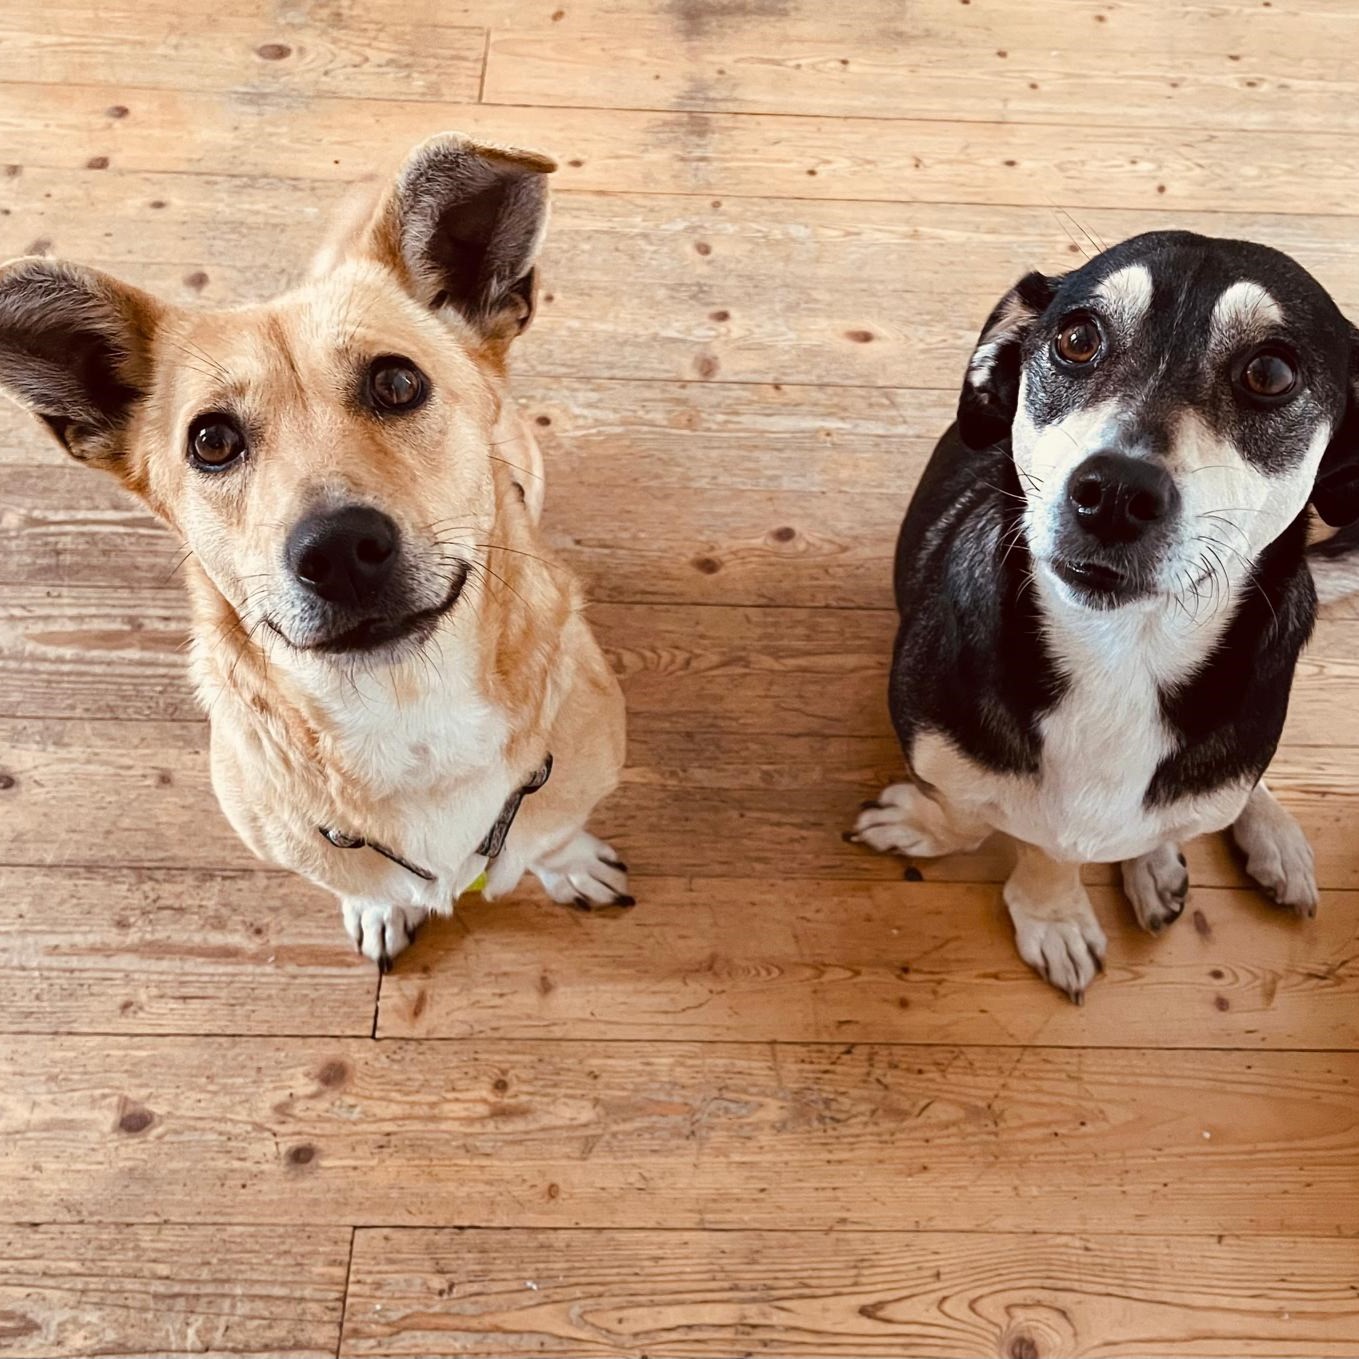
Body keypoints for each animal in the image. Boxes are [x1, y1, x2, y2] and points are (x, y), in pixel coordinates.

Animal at [0, 133, 631, 970]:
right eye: (211, 441)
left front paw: (569, 865)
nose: (338, 550)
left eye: (397, 382)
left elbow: (554, 837)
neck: (405, 708)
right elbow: (362, 885)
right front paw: (380, 907)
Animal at [850, 231, 1359, 1001]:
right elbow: (986, 823)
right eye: (1077, 339)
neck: (1121, 653)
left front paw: (1069, 898)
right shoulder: (937, 745)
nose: (1114, 493)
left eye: (1270, 372)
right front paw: (1027, 893)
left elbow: (1067, 836)